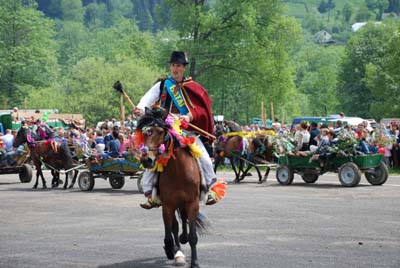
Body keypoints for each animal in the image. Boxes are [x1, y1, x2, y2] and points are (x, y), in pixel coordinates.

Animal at [138, 109, 206, 268]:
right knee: (174, 227)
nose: (146, 160)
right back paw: (178, 253)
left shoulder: (192, 203)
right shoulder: (168, 204)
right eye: (145, 133)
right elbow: (170, 233)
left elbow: (193, 236)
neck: (179, 171)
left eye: (160, 132)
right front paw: (171, 250)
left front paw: (195, 262)